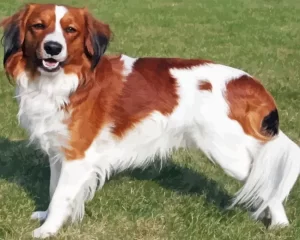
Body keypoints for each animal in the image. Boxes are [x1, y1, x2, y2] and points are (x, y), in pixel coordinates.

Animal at [0, 3, 300, 238]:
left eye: (70, 30)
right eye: (38, 26)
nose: (53, 47)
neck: (69, 81)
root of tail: (248, 82)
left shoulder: (78, 156)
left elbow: (61, 194)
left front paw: (47, 230)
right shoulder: (59, 152)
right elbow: (54, 190)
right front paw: (47, 216)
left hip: (227, 154)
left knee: (265, 178)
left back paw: (279, 222)